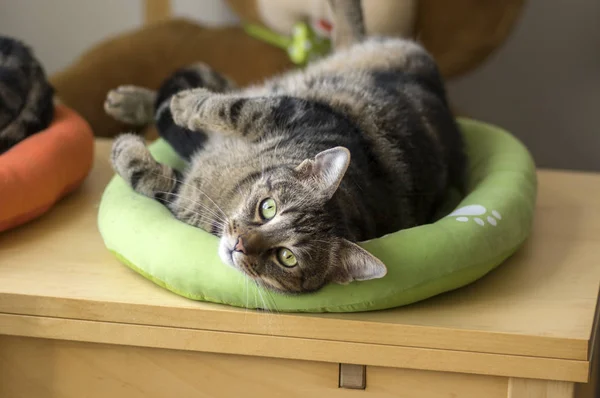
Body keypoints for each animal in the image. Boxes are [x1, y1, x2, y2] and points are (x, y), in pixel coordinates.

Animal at [105, 0, 466, 292]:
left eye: (286, 258)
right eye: (268, 208)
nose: (239, 244)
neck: (234, 188)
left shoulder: (181, 199)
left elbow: (149, 177)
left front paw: (127, 149)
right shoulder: (293, 111)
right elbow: (229, 108)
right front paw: (183, 105)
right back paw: (135, 100)